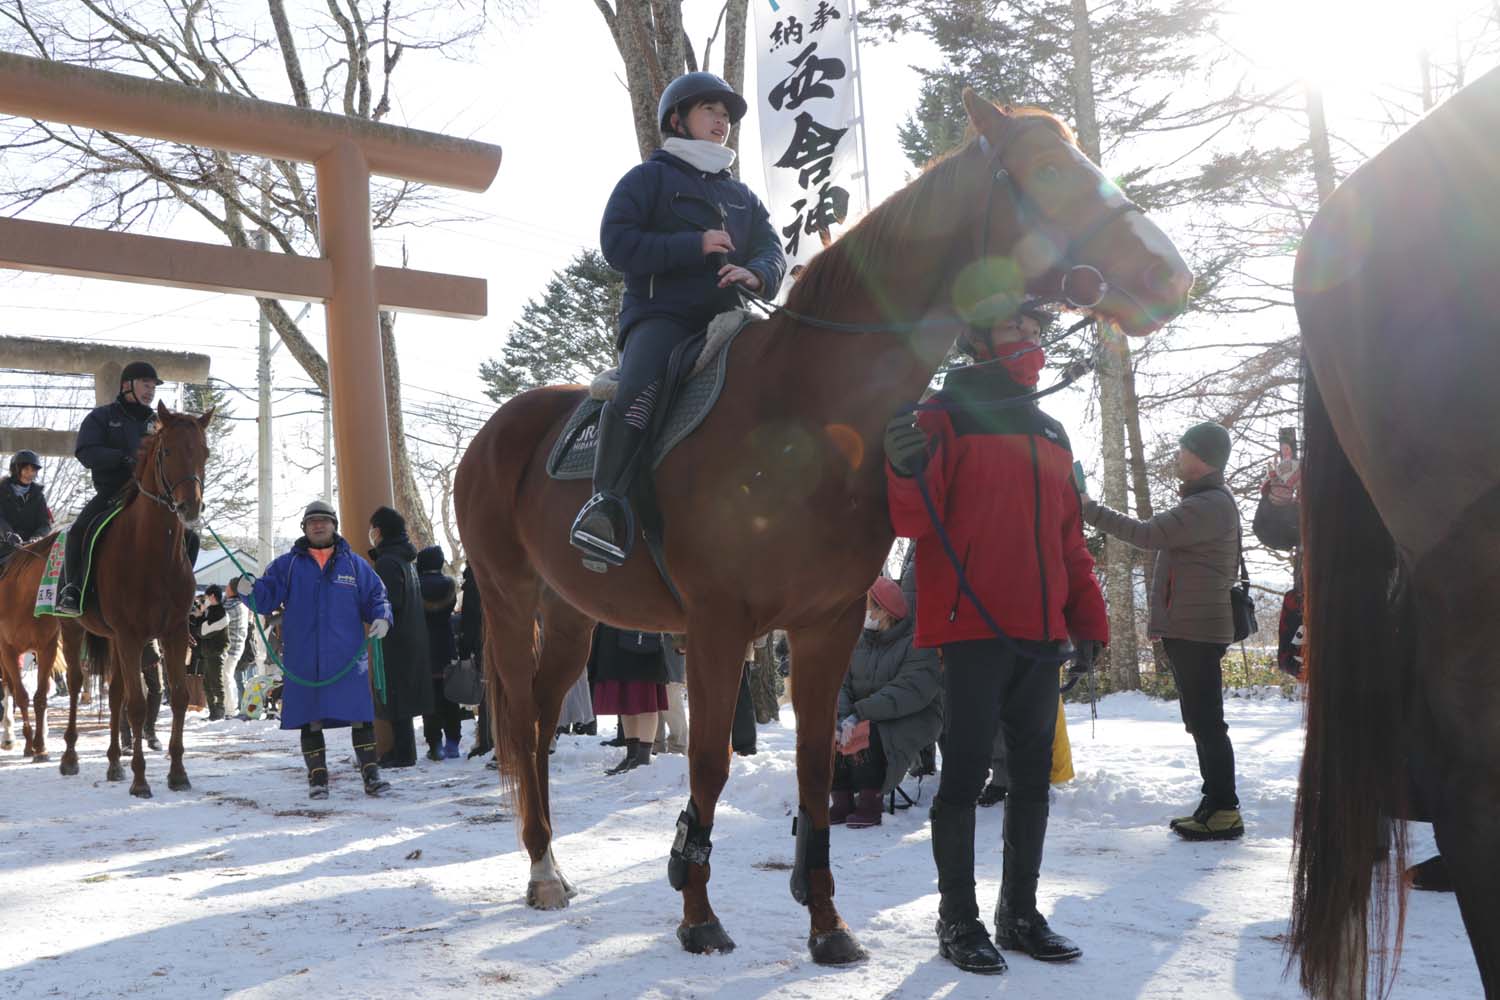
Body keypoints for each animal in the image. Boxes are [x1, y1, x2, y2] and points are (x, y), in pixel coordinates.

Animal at [455, 90, 1193, 964]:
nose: (1171, 274)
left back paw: (550, 860)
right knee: (520, 717)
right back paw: (540, 867)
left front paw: (827, 924)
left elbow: (814, 767)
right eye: (1048, 169)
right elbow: (708, 765)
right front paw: (697, 912)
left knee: (538, 717)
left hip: (572, 611)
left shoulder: (827, 623)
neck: (803, 412)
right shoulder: (716, 627)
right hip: (508, 597)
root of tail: (498, 430)